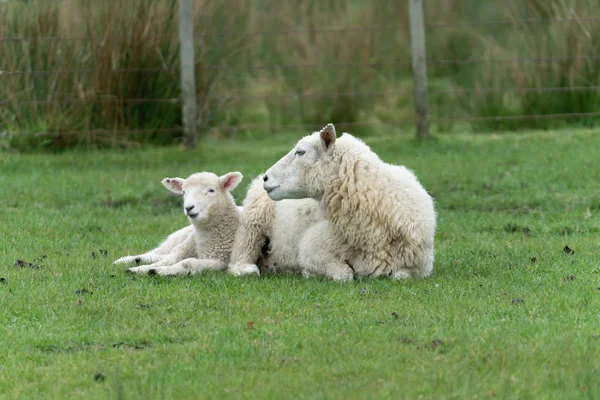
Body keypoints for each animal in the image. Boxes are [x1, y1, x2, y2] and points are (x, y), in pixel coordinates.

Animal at [227, 123, 434, 280]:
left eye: (300, 152)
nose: (266, 178)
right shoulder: (312, 248)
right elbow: (345, 275)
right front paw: (309, 273)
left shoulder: (419, 266)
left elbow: (400, 276)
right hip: (254, 219)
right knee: (242, 249)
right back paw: (246, 268)